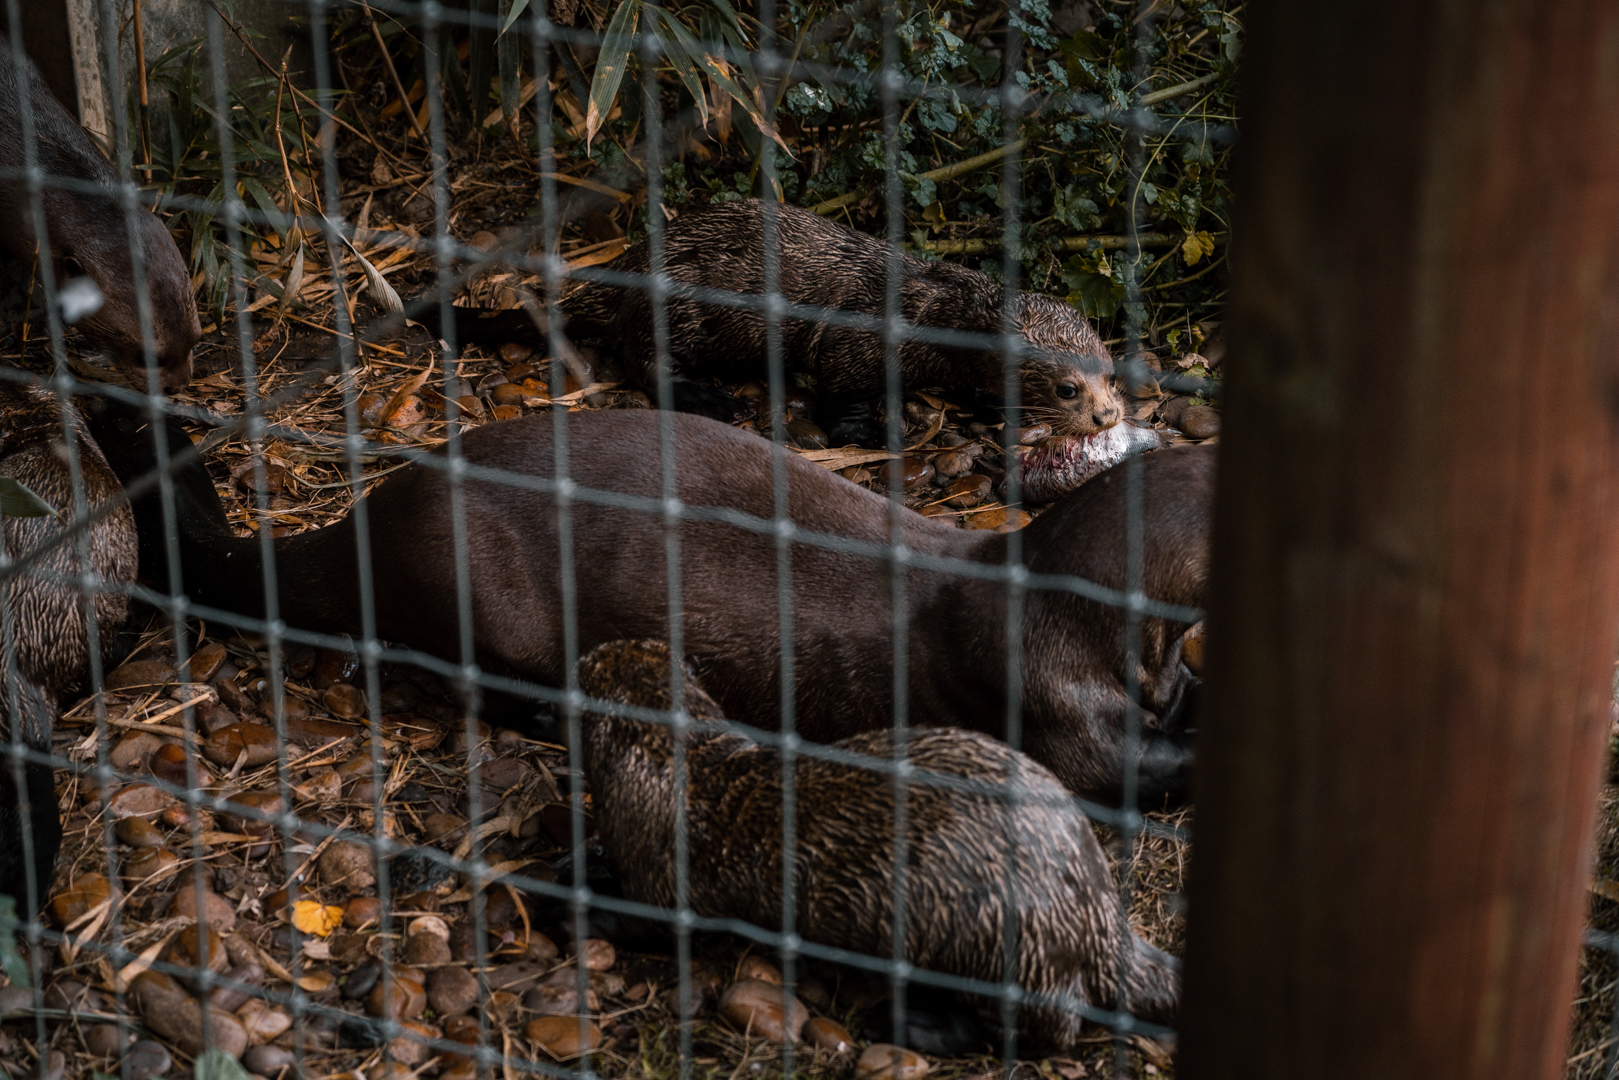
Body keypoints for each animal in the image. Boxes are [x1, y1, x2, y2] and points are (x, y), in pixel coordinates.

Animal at [426, 199, 1124, 446]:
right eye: (1068, 388)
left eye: (1111, 375)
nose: (1108, 414)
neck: (933, 312)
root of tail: (628, 266)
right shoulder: (854, 343)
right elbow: (841, 388)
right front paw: (869, 432)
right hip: (675, 311)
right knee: (645, 363)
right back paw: (712, 399)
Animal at [578, 638, 1178, 1046]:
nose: (589, 649)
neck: (675, 764)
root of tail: (1095, 916)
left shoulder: (660, 873)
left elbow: (653, 925)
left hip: (993, 935)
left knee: (1038, 1030)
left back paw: (907, 1024)